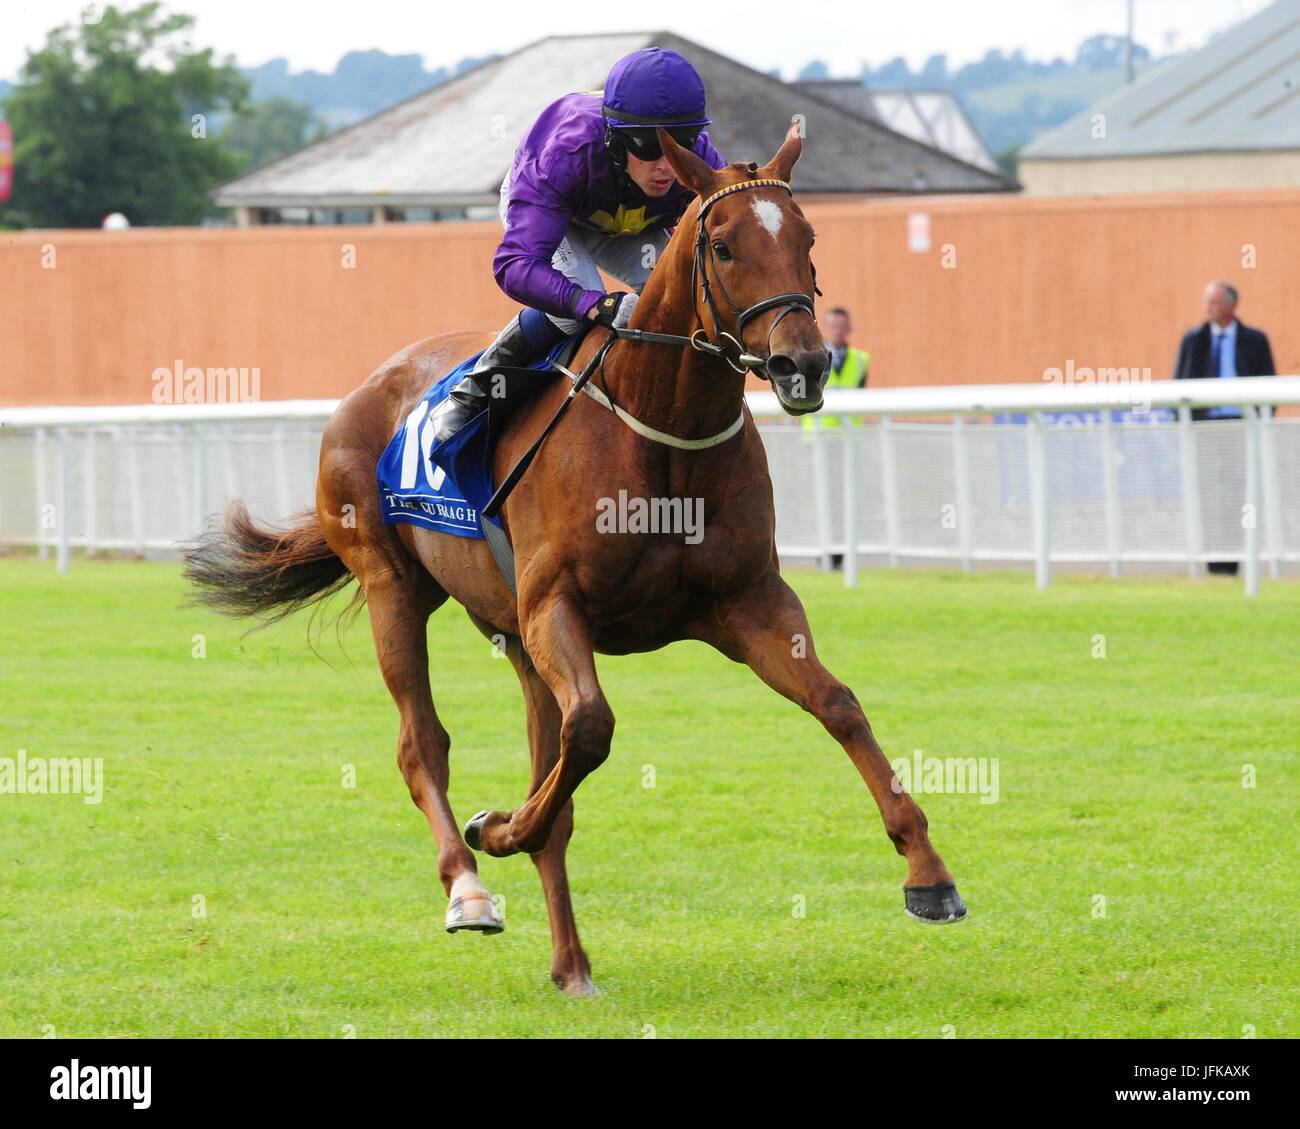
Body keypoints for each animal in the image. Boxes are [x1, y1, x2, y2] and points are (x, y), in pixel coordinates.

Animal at [184, 123, 966, 997]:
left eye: (807, 238)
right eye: (723, 245)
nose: (805, 364)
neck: (663, 427)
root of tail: (369, 386)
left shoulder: (750, 601)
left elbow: (837, 704)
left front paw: (929, 872)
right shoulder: (556, 605)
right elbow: (590, 729)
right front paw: (498, 828)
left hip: (514, 636)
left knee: (542, 760)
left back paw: (570, 962)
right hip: (395, 587)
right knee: (424, 744)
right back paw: (469, 884)